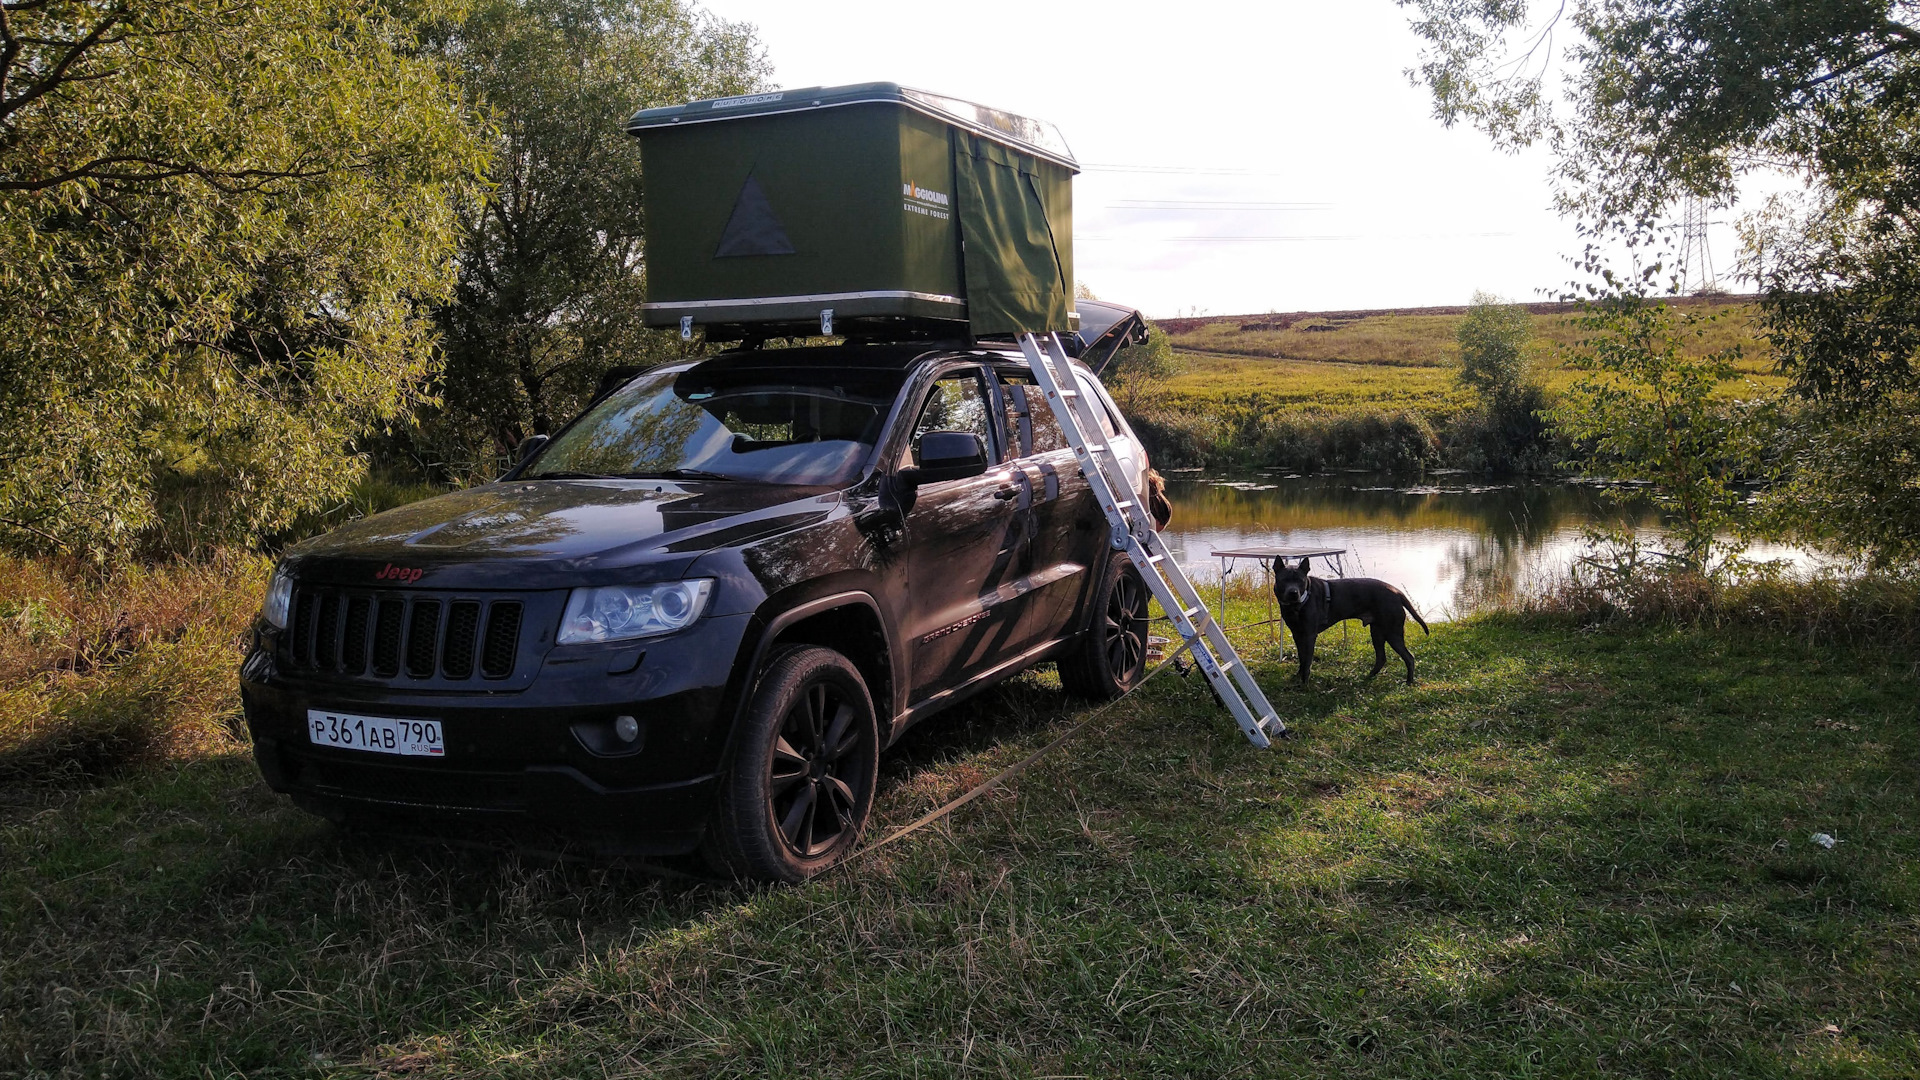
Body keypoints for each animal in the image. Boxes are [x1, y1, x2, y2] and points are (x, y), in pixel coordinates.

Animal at [1274, 553, 1428, 680]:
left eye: (1300, 580)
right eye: (1284, 580)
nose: (1293, 592)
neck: (1297, 605)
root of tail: (1396, 592)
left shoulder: (1309, 635)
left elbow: (1307, 661)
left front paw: (1304, 683)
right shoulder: (1297, 634)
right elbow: (1301, 658)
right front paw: (1298, 676)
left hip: (1392, 632)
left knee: (1409, 657)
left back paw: (1409, 682)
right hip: (1377, 632)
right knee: (1381, 658)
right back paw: (1368, 677)